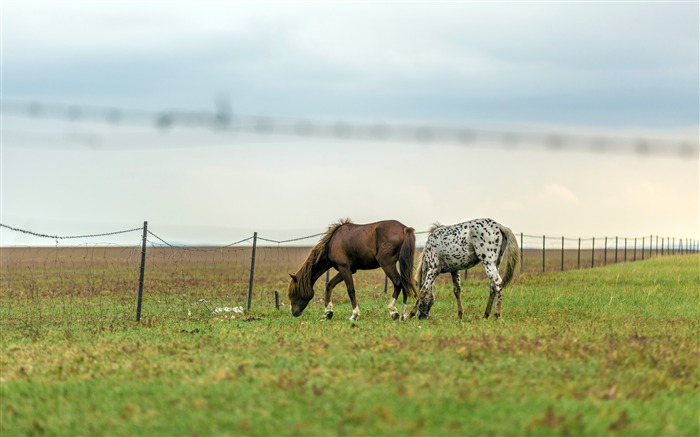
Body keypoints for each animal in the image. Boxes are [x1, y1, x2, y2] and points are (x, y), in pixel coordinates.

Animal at [286, 220, 416, 318]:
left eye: (295, 292)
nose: (293, 312)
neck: (332, 242)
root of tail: (405, 229)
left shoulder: (344, 268)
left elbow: (350, 290)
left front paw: (354, 314)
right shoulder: (347, 269)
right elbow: (330, 285)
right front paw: (328, 311)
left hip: (387, 264)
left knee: (398, 283)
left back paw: (393, 311)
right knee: (405, 283)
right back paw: (404, 314)